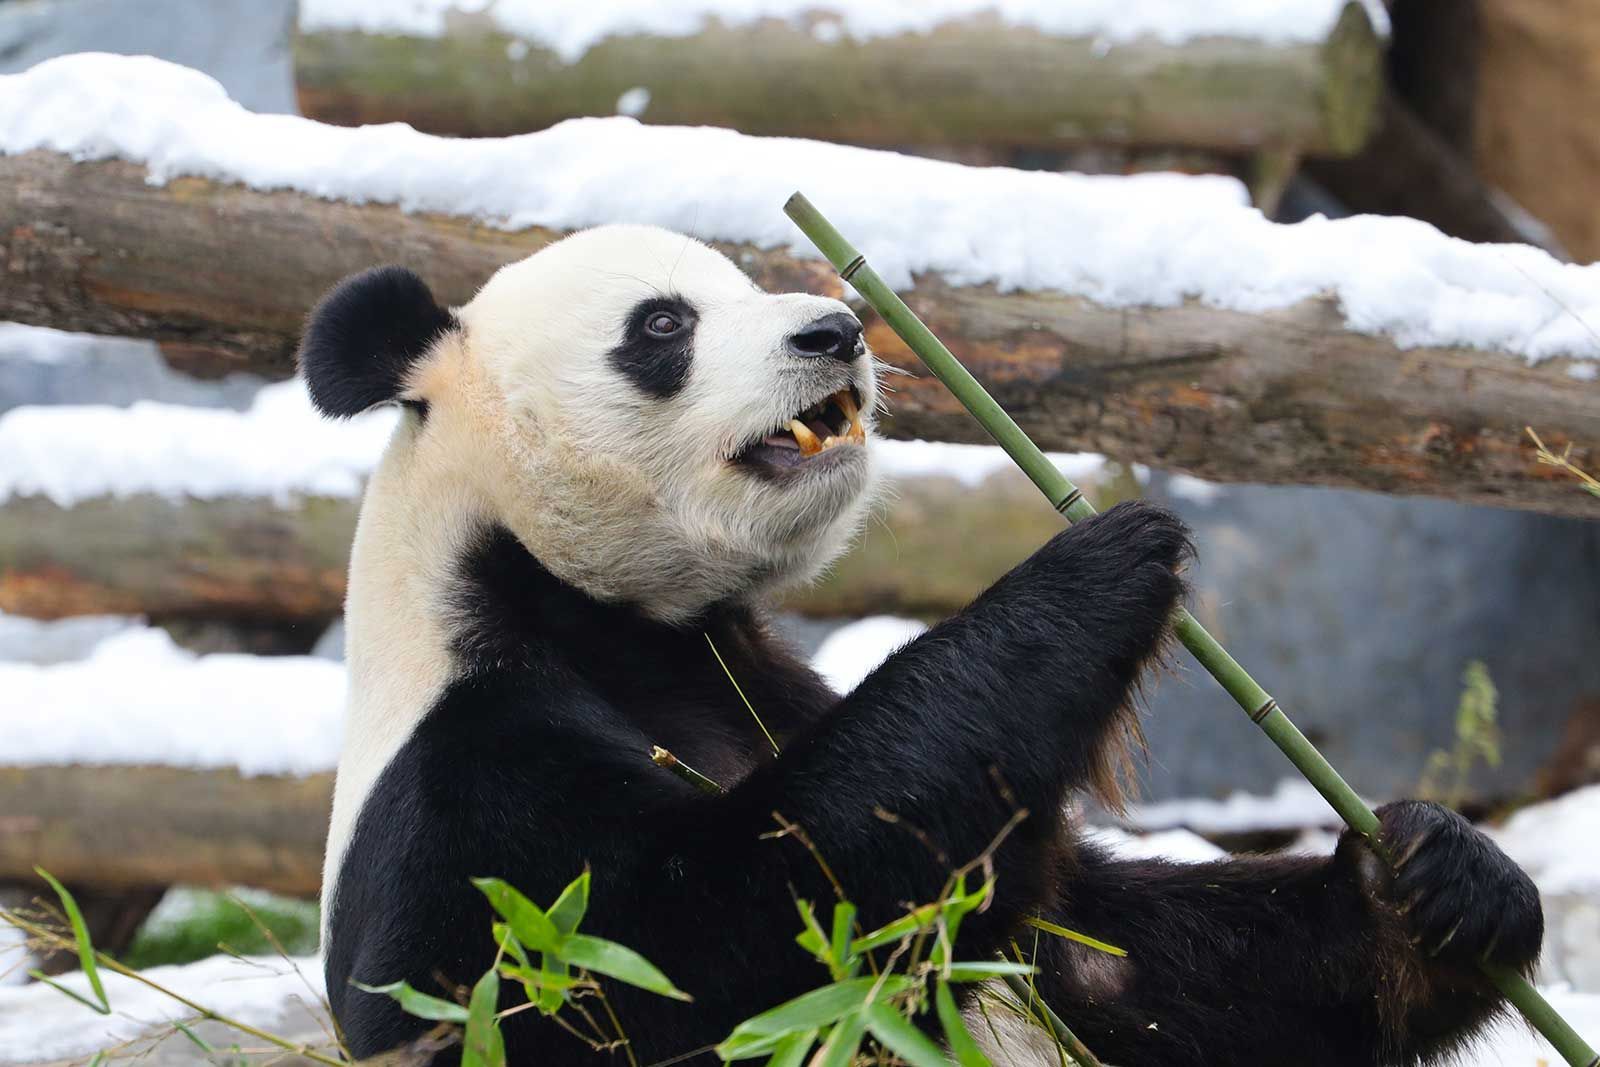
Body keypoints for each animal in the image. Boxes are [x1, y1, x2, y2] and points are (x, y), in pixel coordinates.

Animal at [300, 224, 1542, 1066]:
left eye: (745, 285)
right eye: (662, 324)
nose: (835, 329)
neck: (586, 602)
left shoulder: (756, 678)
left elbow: (1121, 960)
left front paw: (1432, 884)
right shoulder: (477, 789)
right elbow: (713, 936)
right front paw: (1102, 563)